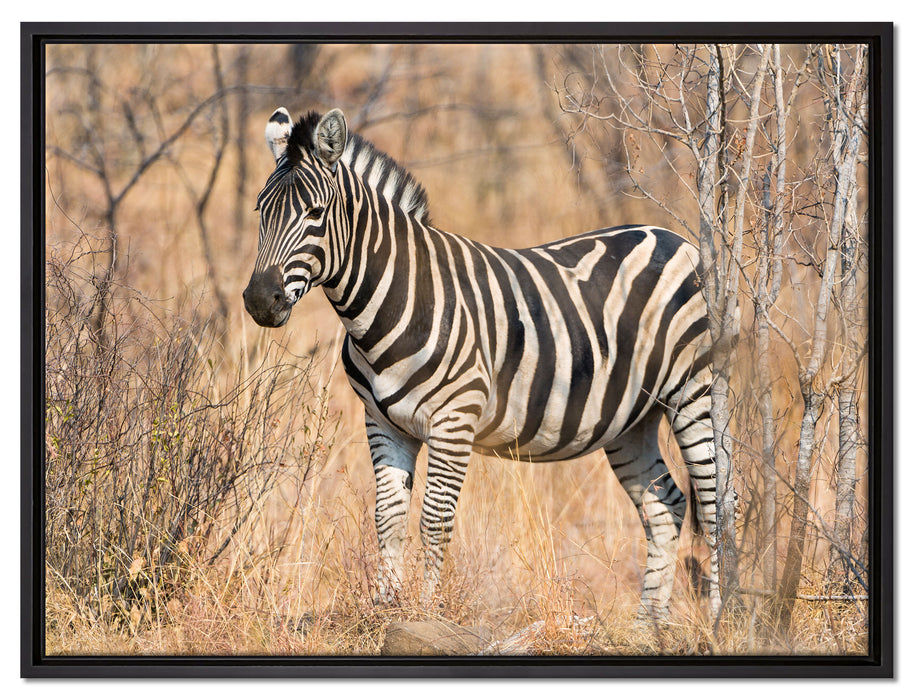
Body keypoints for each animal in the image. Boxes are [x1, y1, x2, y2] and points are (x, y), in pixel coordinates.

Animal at [243, 106, 722, 619]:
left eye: (315, 213)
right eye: (260, 211)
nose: (259, 301)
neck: (392, 301)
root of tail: (671, 237)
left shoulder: (455, 420)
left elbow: (434, 520)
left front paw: (426, 615)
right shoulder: (382, 422)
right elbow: (388, 516)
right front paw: (386, 610)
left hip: (694, 393)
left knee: (714, 502)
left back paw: (720, 619)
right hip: (631, 418)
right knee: (666, 506)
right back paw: (647, 625)